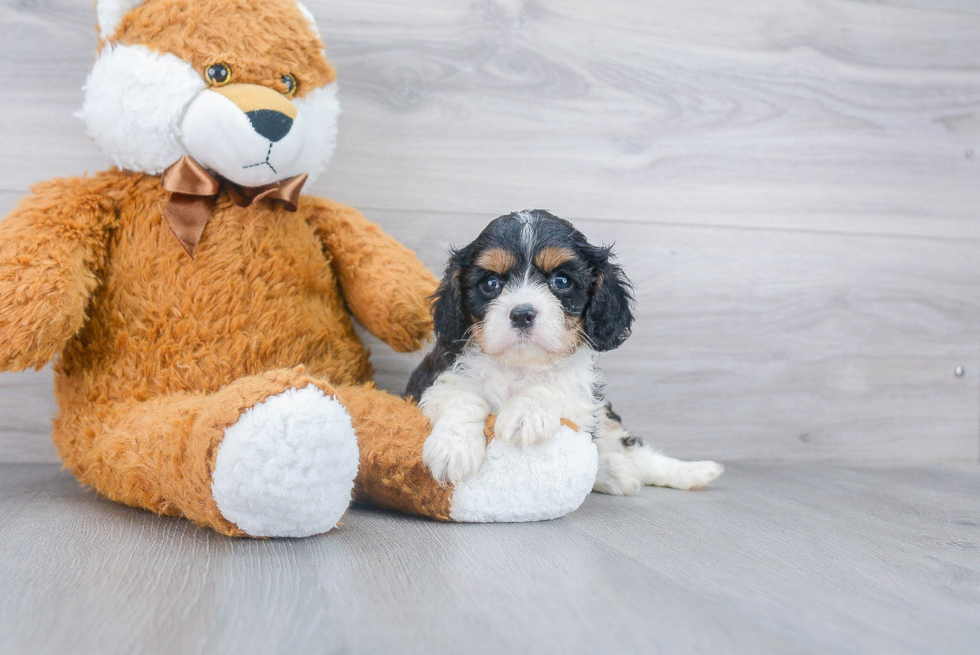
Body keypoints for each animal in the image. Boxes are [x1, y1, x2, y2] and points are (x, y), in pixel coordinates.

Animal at [408, 213, 728, 494]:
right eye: (490, 283)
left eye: (561, 281)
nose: (522, 314)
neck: (521, 365)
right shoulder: (434, 378)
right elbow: (460, 396)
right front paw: (453, 448)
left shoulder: (585, 402)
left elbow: (556, 387)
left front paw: (527, 413)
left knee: (636, 455)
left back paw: (684, 472)